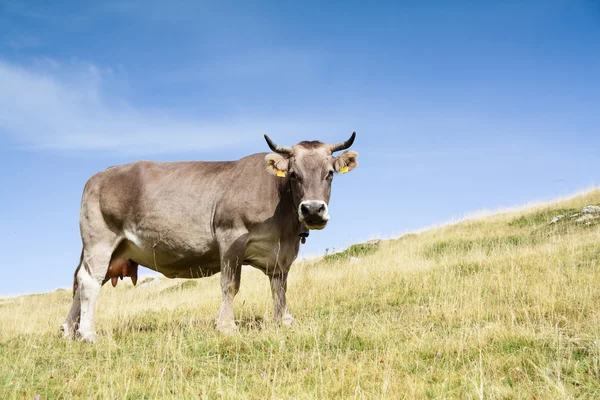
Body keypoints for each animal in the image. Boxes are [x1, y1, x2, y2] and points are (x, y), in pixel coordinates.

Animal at [62, 133, 358, 342]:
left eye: (330, 173)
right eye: (294, 174)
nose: (312, 209)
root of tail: (99, 175)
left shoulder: (281, 254)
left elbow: (280, 288)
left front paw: (284, 321)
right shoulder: (231, 236)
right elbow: (230, 285)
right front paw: (226, 326)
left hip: (107, 248)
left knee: (77, 281)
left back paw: (69, 330)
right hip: (100, 239)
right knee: (89, 281)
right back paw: (88, 334)